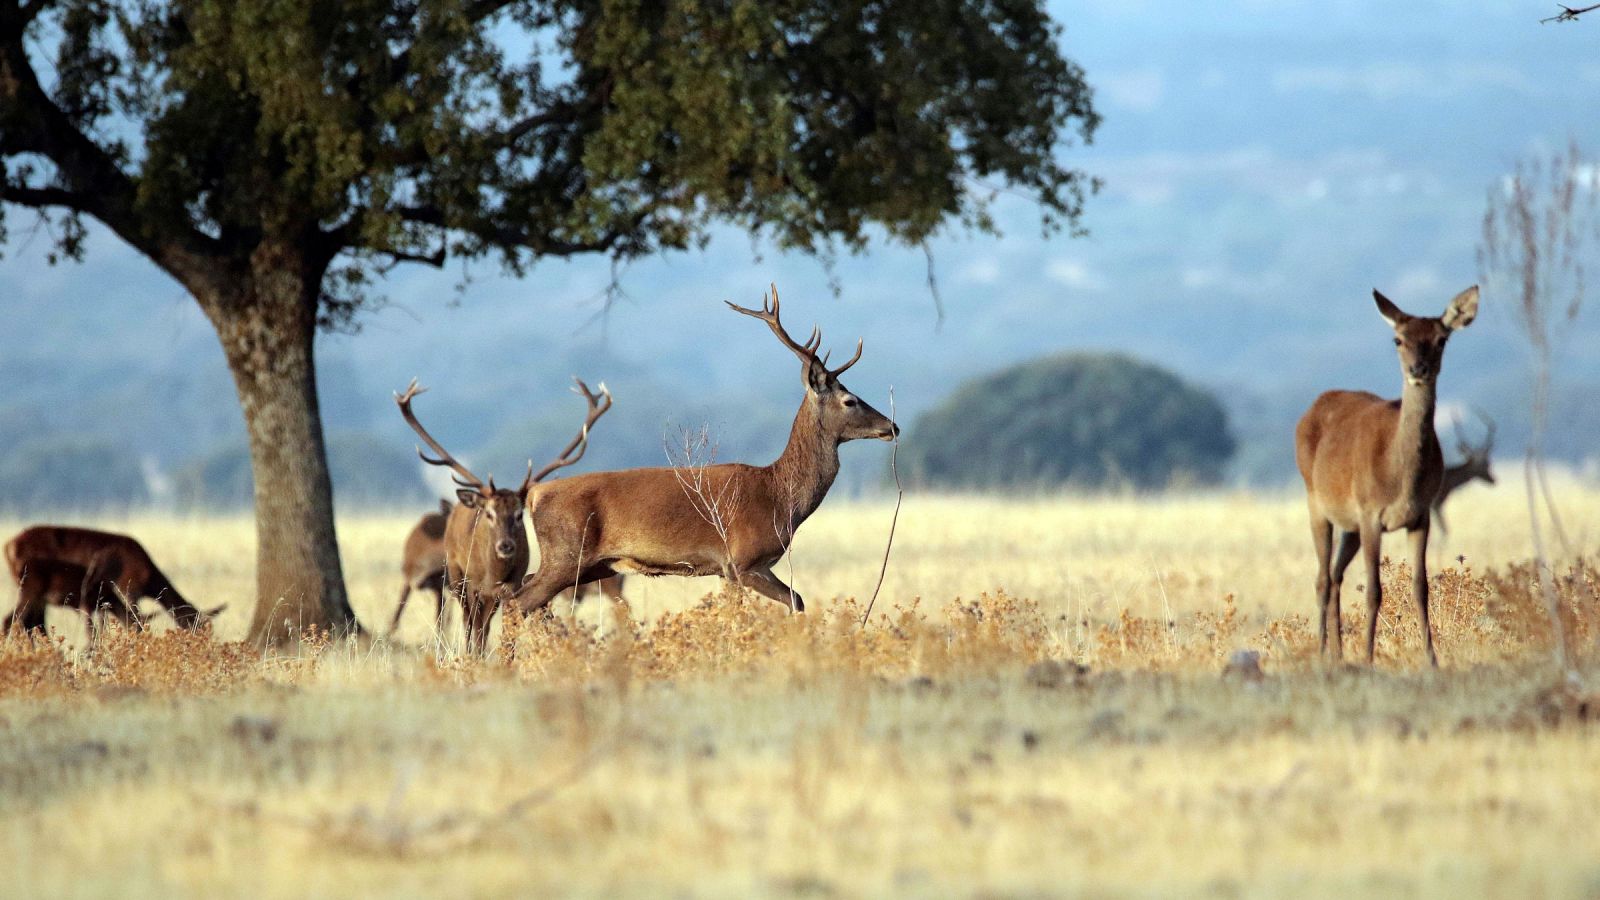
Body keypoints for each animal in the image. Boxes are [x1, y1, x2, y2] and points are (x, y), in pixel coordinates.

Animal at [3, 522, 224, 634]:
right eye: (198, 627)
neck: (149, 579)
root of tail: (8, 546)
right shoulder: (128, 587)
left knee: (31, 622)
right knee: (30, 622)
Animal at [395, 374, 611, 646]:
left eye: (519, 515)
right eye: (489, 514)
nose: (505, 546)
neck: (493, 575)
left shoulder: (510, 586)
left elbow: (494, 626)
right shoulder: (472, 584)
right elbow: (474, 628)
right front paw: (474, 653)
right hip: (454, 575)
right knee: (465, 620)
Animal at [505, 283, 896, 611]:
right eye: (849, 400)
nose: (892, 426)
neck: (780, 497)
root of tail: (535, 494)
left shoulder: (730, 569)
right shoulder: (741, 560)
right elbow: (792, 602)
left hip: (592, 565)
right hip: (567, 554)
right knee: (517, 601)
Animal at [1292, 283, 1478, 662]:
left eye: (1441, 339)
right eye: (1398, 339)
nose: (1418, 369)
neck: (1399, 477)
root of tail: (1310, 410)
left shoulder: (1421, 515)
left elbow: (1421, 587)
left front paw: (1432, 660)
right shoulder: (1370, 514)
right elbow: (1374, 590)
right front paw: (1368, 657)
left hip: (1348, 524)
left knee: (1335, 575)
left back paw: (1338, 655)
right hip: (1316, 501)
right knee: (1322, 578)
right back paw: (1322, 653)